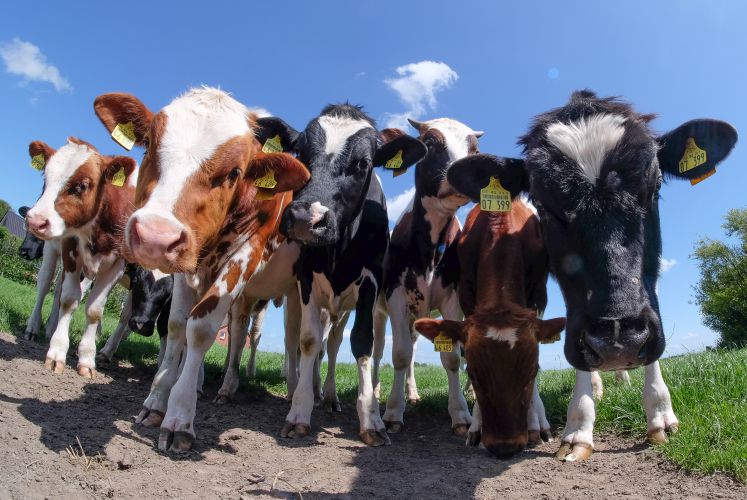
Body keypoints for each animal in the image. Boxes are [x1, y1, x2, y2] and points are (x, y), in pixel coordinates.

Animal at [24, 138, 138, 377]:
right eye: (45, 178)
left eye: (81, 186)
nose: (35, 220)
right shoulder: (70, 248)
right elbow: (69, 299)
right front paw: (57, 352)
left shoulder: (117, 265)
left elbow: (94, 310)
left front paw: (87, 358)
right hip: (51, 248)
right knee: (45, 284)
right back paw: (34, 327)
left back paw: (51, 327)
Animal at [93, 87, 310, 452]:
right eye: (149, 144)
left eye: (235, 172)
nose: (154, 236)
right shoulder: (185, 263)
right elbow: (178, 325)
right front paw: (156, 402)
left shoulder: (245, 255)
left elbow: (201, 330)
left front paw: (179, 416)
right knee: (238, 331)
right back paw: (227, 385)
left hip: (295, 292)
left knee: (295, 339)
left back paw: (296, 392)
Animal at [278, 104, 426, 446]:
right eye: (300, 151)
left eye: (363, 163)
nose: (306, 218)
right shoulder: (306, 279)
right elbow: (308, 341)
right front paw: (299, 411)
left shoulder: (370, 282)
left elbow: (361, 342)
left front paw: (371, 418)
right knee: (311, 342)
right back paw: (310, 391)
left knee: (333, 345)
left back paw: (331, 396)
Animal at [380, 117, 482, 436]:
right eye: (430, 142)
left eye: (475, 149)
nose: (466, 174)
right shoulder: (396, 297)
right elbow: (399, 355)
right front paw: (392, 411)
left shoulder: (452, 300)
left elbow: (451, 358)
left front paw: (460, 413)